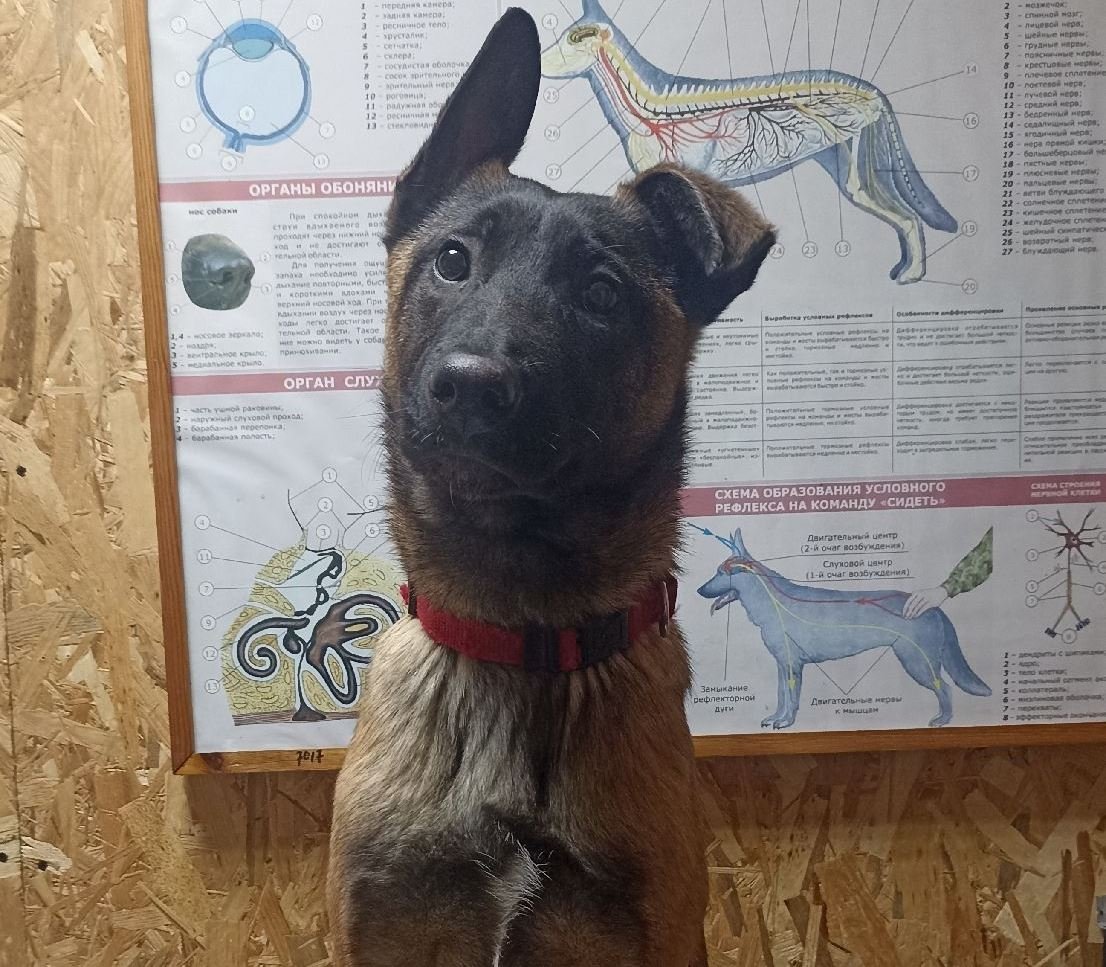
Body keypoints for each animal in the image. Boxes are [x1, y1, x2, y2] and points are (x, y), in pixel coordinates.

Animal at [696, 529, 991, 730]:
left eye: (721, 573)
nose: (698, 590)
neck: (771, 602)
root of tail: (933, 606)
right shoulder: (782, 665)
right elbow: (781, 695)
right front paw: (776, 718)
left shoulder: (793, 666)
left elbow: (792, 698)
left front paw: (787, 722)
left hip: (917, 663)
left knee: (946, 690)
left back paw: (943, 720)